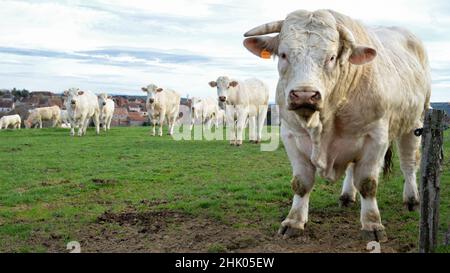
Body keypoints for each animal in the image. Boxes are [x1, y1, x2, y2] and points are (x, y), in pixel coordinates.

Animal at [241, 8, 430, 239]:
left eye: (331, 57)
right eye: (284, 54)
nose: (304, 95)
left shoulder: (375, 138)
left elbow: (367, 183)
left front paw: (372, 224)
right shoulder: (291, 136)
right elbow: (301, 183)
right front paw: (294, 221)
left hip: (414, 123)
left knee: (408, 163)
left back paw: (412, 200)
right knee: (352, 168)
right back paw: (347, 196)